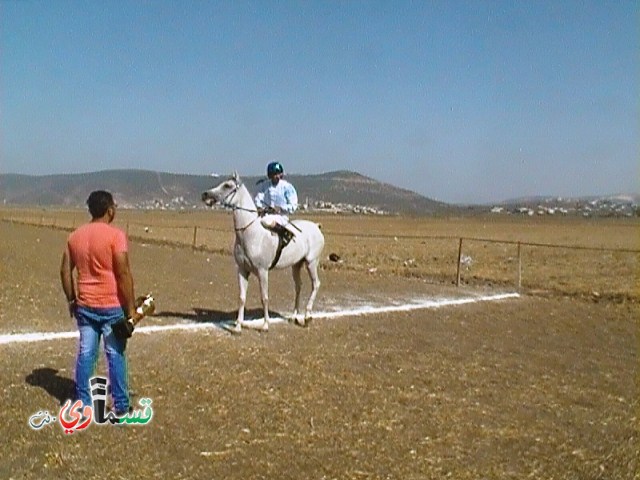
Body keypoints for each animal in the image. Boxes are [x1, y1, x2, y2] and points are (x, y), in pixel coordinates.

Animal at [202, 172, 324, 334]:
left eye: (227, 185)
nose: (205, 195)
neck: (250, 234)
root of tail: (316, 226)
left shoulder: (262, 271)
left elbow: (264, 297)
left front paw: (265, 325)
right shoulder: (242, 270)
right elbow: (241, 297)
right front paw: (238, 326)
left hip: (311, 263)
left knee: (315, 284)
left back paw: (307, 316)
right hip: (296, 265)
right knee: (298, 287)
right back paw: (294, 316)